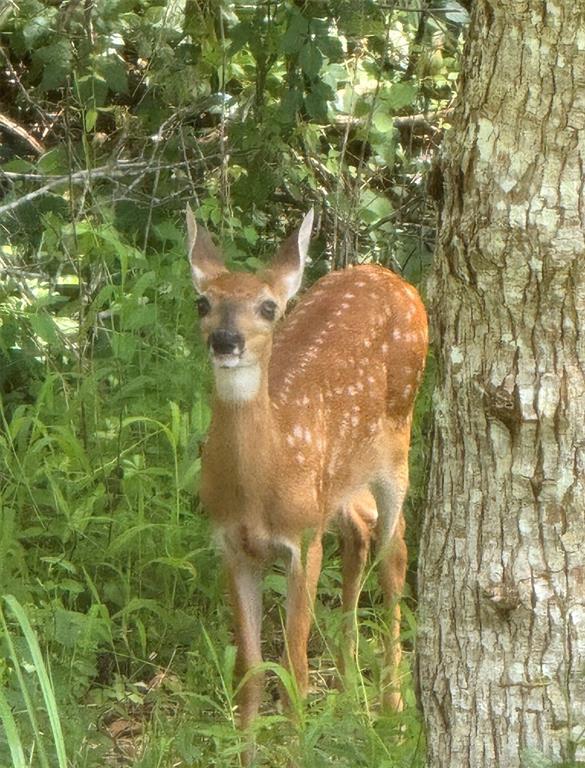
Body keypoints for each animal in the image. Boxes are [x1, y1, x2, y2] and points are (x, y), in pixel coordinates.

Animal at [186, 206, 428, 740]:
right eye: (202, 302)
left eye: (268, 307)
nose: (225, 340)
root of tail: (392, 277)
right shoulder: (232, 547)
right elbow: (251, 674)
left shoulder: (303, 540)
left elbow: (294, 672)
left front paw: (300, 743)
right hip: (340, 479)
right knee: (361, 532)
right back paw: (351, 691)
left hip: (397, 440)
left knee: (395, 550)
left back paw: (392, 707)